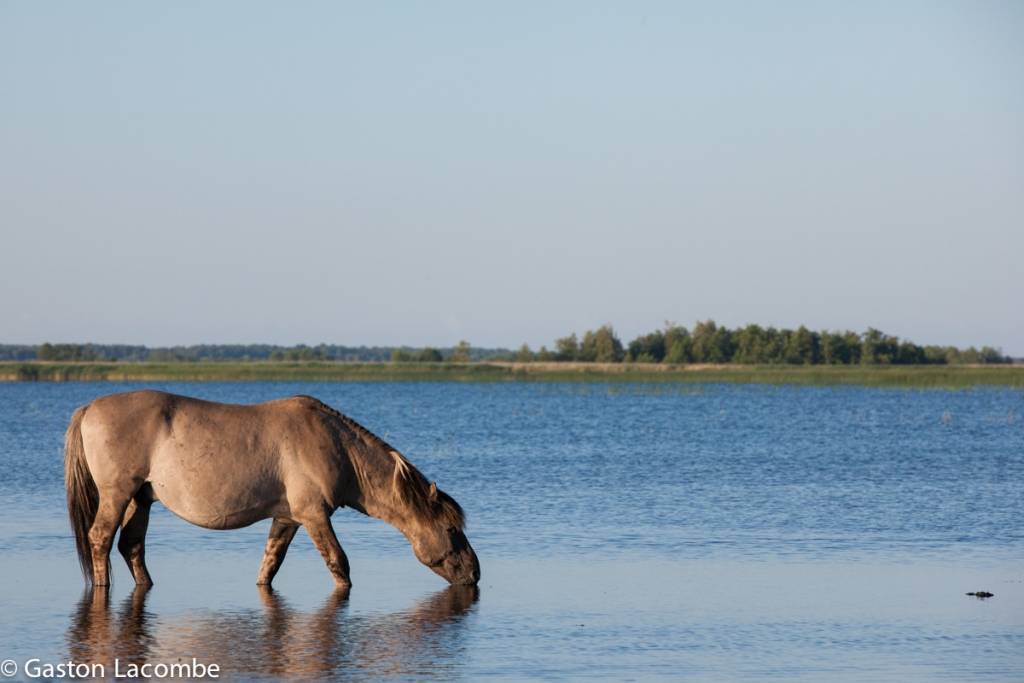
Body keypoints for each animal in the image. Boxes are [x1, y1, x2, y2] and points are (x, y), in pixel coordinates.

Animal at [64, 393, 479, 589]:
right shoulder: (314, 515)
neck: (337, 446)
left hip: (141, 497)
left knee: (130, 545)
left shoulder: (287, 517)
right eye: (451, 530)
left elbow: (269, 566)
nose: (474, 574)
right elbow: (338, 563)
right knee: (100, 539)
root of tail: (89, 408)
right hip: (117, 493)